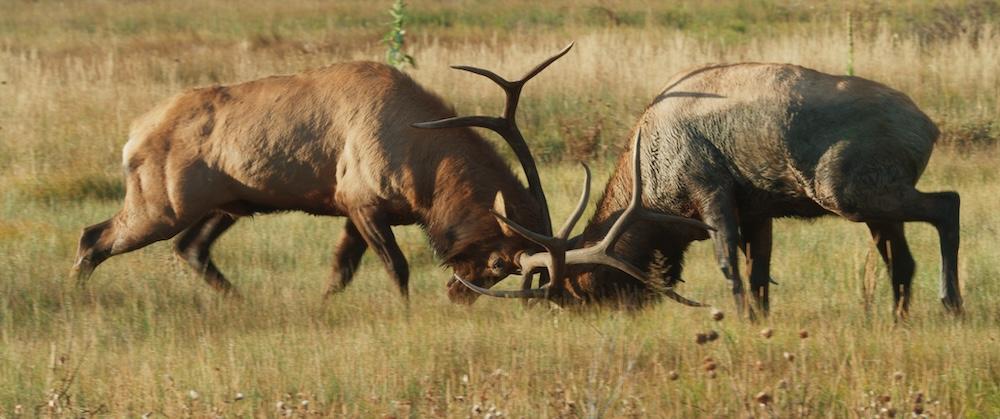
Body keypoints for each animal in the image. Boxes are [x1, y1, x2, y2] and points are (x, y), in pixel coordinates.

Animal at [453, 63, 962, 319]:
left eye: (585, 289)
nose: (600, 318)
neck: (656, 192)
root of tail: (930, 127)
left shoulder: (711, 189)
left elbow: (728, 263)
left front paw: (737, 319)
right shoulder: (758, 208)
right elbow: (760, 273)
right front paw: (760, 319)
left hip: (846, 190)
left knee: (949, 203)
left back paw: (951, 302)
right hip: (871, 203)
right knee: (902, 259)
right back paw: (900, 315)